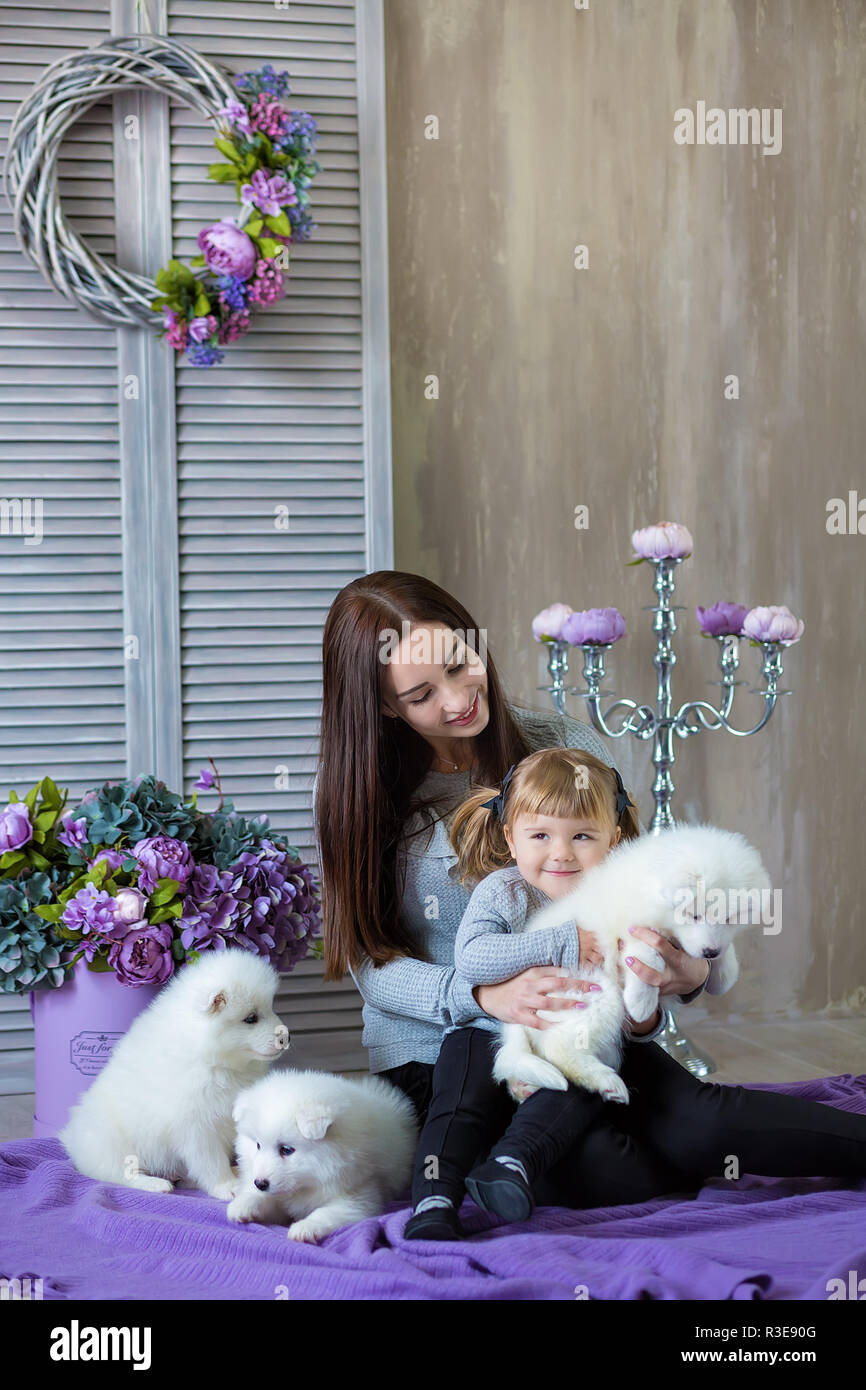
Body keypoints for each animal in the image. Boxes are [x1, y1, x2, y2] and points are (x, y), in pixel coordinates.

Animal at [61, 950, 291, 1200]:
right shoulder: (195, 1125)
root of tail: (71, 1140)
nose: (286, 1037)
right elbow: (210, 1160)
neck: (214, 1060)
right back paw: (155, 1183)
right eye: (250, 1018)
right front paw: (227, 1186)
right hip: (111, 1141)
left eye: (270, 1007)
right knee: (121, 1172)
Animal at [226, 1067, 417, 1245]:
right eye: (258, 1145)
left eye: (286, 1150)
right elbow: (263, 1198)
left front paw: (305, 1227)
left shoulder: (359, 1196)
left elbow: (327, 1212)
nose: (260, 1183)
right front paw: (242, 1205)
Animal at [494, 822, 772, 1106]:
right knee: (558, 1048)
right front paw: (641, 1002)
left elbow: (725, 949)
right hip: (594, 991)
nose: (709, 951)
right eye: (694, 915)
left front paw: (723, 972)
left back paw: (524, 1087)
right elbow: (647, 956)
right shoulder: (634, 928)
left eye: (730, 918)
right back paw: (607, 1082)